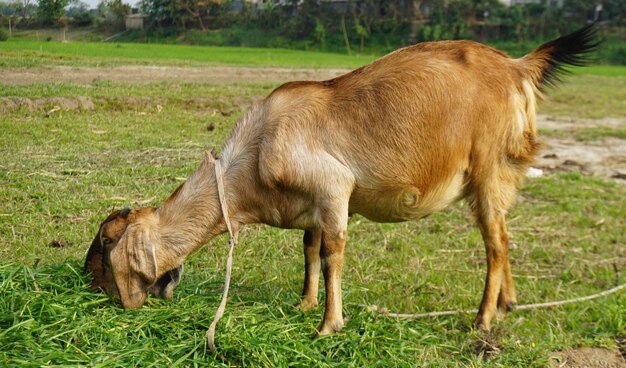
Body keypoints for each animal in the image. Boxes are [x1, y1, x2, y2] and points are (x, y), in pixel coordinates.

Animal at [84, 25, 596, 334]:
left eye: (105, 245)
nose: (93, 288)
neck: (254, 155)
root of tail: (517, 66)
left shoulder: (334, 191)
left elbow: (333, 256)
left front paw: (329, 325)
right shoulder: (311, 207)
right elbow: (309, 252)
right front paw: (304, 305)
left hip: (487, 169)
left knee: (495, 242)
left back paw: (484, 319)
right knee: (505, 236)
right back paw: (509, 304)